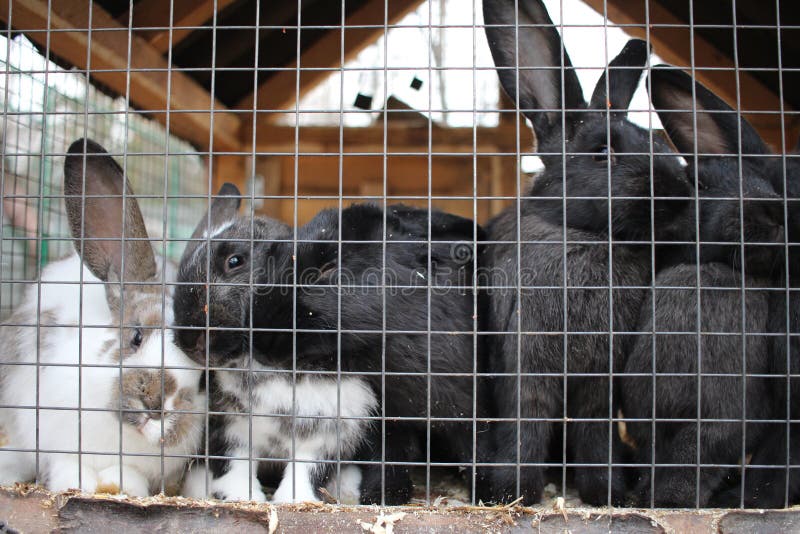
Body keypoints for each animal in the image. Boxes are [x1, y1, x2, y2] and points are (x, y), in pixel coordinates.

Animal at [0, 138, 204, 496]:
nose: (155, 400)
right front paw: (77, 482)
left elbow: (129, 475)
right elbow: (66, 465)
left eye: (206, 379)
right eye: (136, 336)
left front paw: (122, 485)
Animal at [172, 190, 484, 504]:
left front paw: (294, 500)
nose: (189, 341)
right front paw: (243, 498)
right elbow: (234, 466)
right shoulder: (232, 428)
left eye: (235, 260)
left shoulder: (331, 432)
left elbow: (307, 471)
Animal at [478, 0, 691, 506]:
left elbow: (595, 433)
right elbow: (527, 424)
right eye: (602, 154)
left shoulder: (599, 381)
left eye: (657, 142)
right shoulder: (528, 366)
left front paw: (605, 493)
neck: (586, 235)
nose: (678, 195)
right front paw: (514, 493)